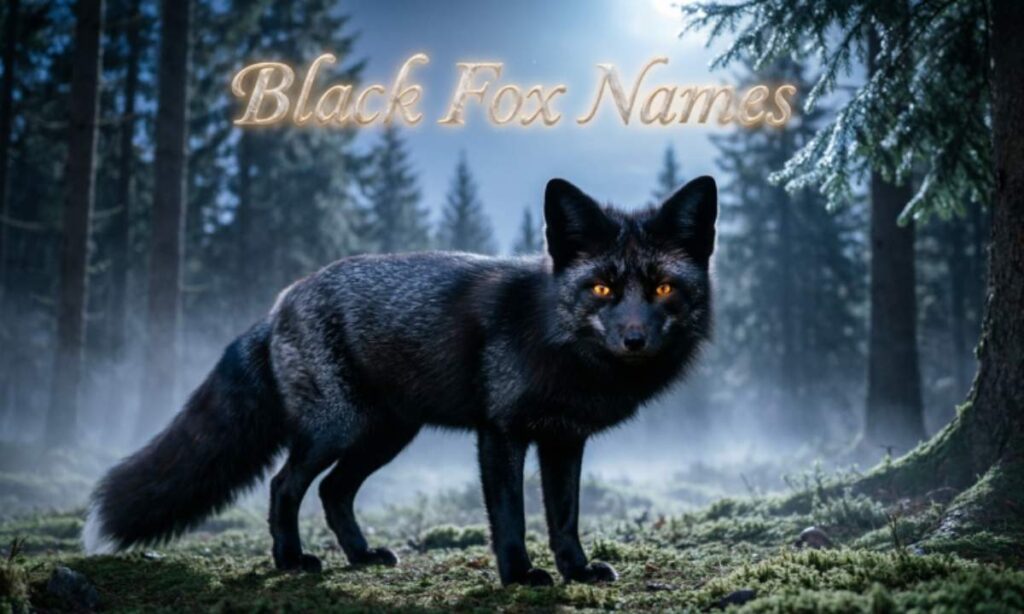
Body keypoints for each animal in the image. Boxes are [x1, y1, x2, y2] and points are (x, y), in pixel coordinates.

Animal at [83, 175, 717, 586]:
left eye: (662, 288)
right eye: (602, 289)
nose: (633, 339)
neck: (557, 341)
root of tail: (279, 303)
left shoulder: (564, 439)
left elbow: (565, 516)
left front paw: (577, 571)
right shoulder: (501, 432)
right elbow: (510, 515)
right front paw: (519, 575)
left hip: (385, 436)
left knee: (333, 492)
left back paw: (360, 557)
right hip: (335, 431)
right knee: (286, 485)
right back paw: (291, 562)